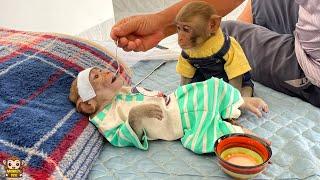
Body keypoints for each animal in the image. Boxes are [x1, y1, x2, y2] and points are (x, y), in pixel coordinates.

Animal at [69, 67, 268, 154]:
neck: (113, 99)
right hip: (202, 130)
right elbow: (125, 134)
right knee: (213, 132)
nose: (108, 73)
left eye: (100, 71)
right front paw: (143, 110)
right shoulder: (106, 122)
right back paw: (250, 133)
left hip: (202, 91)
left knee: (217, 86)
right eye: (96, 76)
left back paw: (249, 103)